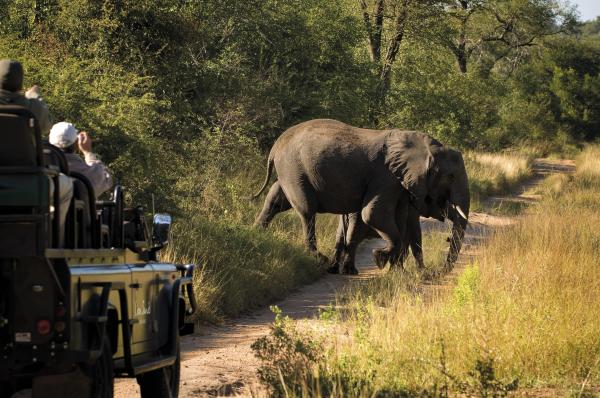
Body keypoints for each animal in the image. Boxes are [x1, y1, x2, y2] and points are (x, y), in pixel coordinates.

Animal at [251, 118, 472, 274]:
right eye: (451, 176)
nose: (438, 272)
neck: (424, 146)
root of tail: (275, 146)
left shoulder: (400, 186)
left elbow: (404, 221)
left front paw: (399, 271)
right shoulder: (386, 177)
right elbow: (372, 214)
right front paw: (380, 259)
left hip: (289, 172)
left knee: (275, 200)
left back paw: (256, 233)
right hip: (294, 169)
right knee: (307, 210)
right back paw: (322, 260)